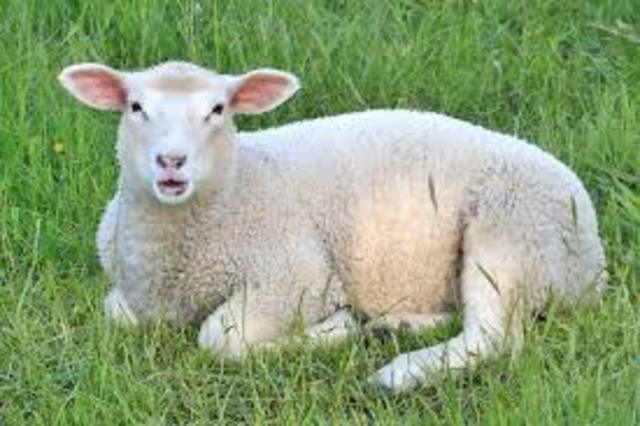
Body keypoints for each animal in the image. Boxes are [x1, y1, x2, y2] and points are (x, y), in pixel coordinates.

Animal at [58, 61, 606, 393]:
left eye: (218, 110)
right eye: (135, 107)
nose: (171, 162)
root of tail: (594, 263)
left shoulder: (295, 277)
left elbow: (221, 338)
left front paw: (333, 329)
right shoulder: (130, 292)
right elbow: (118, 314)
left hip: (511, 234)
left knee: (493, 337)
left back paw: (398, 373)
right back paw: (395, 326)